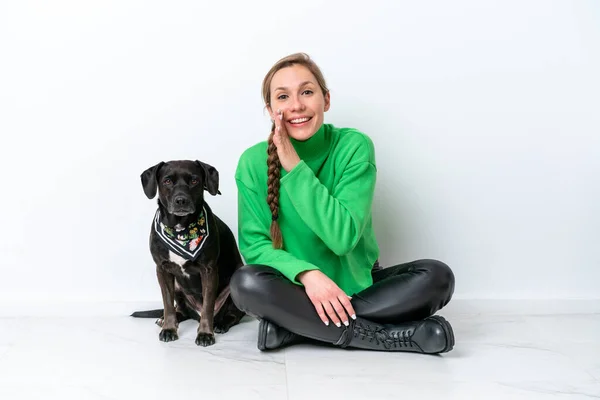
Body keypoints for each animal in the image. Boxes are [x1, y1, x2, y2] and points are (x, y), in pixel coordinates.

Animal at [131, 160, 244, 346]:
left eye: (194, 180)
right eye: (167, 181)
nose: (181, 200)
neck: (181, 229)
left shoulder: (208, 271)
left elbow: (207, 306)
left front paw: (205, 333)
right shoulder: (162, 270)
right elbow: (168, 304)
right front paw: (169, 329)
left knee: (233, 315)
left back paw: (220, 324)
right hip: (178, 287)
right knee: (181, 310)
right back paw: (166, 319)